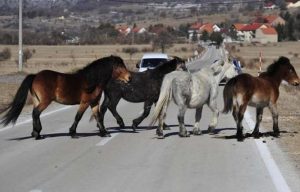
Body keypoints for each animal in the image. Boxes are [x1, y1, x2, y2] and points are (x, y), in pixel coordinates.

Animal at [0, 55, 131, 140]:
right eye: (119, 67)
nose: (129, 78)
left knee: (35, 113)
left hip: (37, 100)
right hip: (45, 101)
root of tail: (36, 76)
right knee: (36, 113)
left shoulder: (94, 103)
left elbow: (98, 117)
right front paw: (72, 133)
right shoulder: (85, 102)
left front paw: (104, 133)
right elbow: (78, 117)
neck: (91, 81)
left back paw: (36, 133)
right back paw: (37, 134)